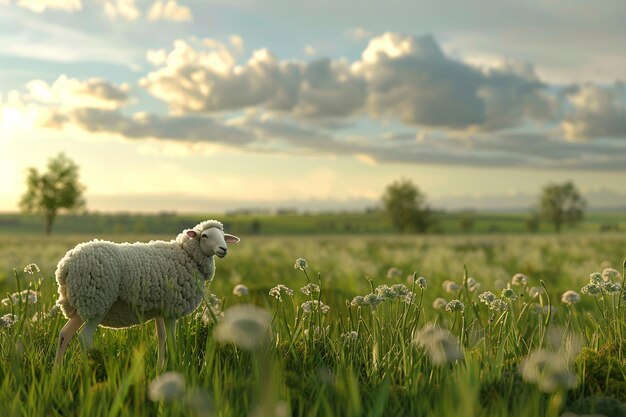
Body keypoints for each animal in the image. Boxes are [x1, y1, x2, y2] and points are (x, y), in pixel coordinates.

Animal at [54, 219, 239, 366]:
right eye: (205, 236)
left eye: (224, 237)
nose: (223, 249)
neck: (187, 255)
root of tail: (66, 265)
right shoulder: (172, 309)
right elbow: (171, 340)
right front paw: (174, 367)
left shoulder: (161, 310)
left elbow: (161, 338)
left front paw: (160, 368)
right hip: (96, 300)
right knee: (84, 338)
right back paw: (87, 373)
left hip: (83, 302)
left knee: (64, 334)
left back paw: (57, 373)